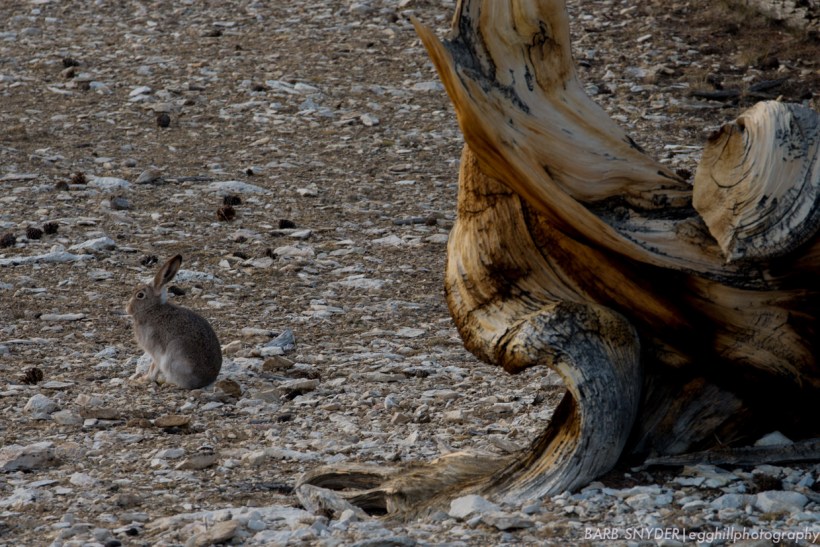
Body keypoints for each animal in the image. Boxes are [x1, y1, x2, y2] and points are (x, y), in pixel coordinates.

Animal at [126, 254, 222, 389]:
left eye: (140, 295)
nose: (127, 309)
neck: (152, 308)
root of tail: (206, 381)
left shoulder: (155, 350)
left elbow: (154, 366)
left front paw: (144, 379)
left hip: (174, 356)